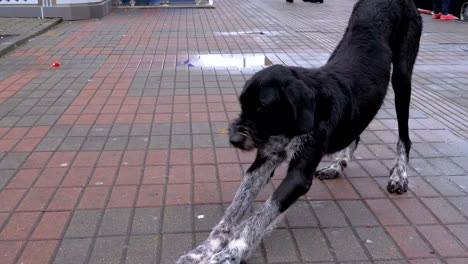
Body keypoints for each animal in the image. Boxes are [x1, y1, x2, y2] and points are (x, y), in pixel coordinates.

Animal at [177, 0, 422, 262]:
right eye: (242, 105)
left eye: (262, 108)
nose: (233, 139)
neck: (291, 125)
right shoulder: (264, 160)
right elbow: (236, 207)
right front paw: (204, 249)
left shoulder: (299, 175)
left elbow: (262, 214)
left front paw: (232, 251)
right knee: (355, 134)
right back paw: (338, 165)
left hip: (402, 78)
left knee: (404, 137)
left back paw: (399, 175)